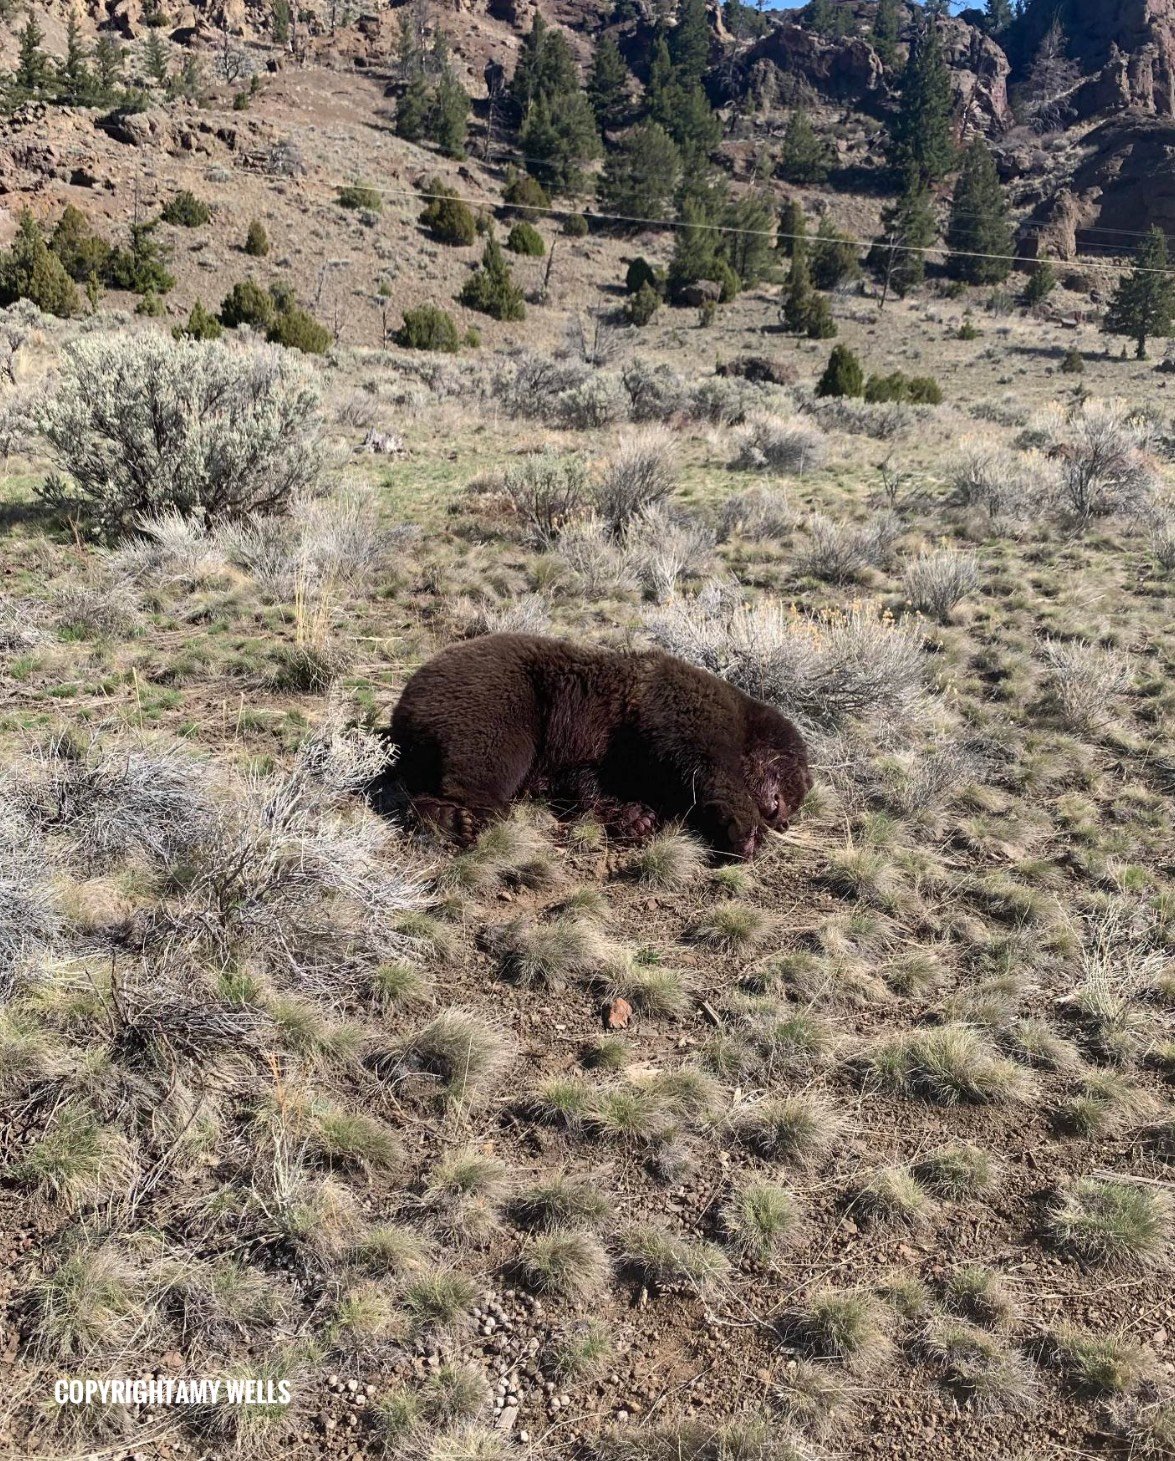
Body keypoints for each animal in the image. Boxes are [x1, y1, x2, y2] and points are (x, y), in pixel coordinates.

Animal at [379, 631, 812, 853]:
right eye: (794, 786)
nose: (784, 819)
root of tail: (404, 698)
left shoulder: (599, 753)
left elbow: (588, 783)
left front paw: (636, 817)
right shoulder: (679, 708)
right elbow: (706, 765)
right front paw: (745, 830)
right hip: (502, 693)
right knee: (488, 752)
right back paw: (460, 816)